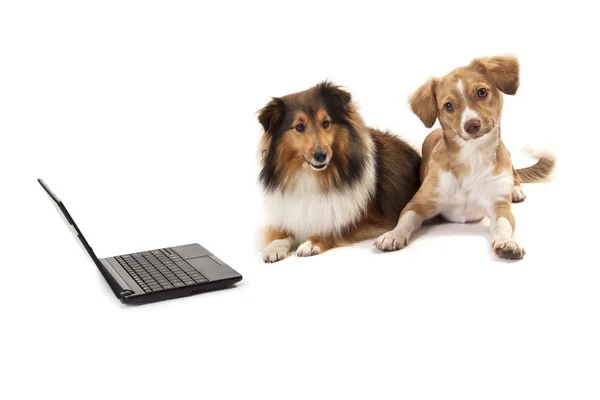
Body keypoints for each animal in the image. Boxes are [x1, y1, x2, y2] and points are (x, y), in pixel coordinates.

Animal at [372, 55, 556, 260]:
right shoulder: (418, 202)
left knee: (514, 176)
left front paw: (506, 243)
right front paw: (392, 235)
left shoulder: (499, 207)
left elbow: (502, 225)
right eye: (448, 106)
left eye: (482, 92)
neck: (472, 157)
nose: (472, 125)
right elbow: (406, 220)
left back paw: (515, 190)